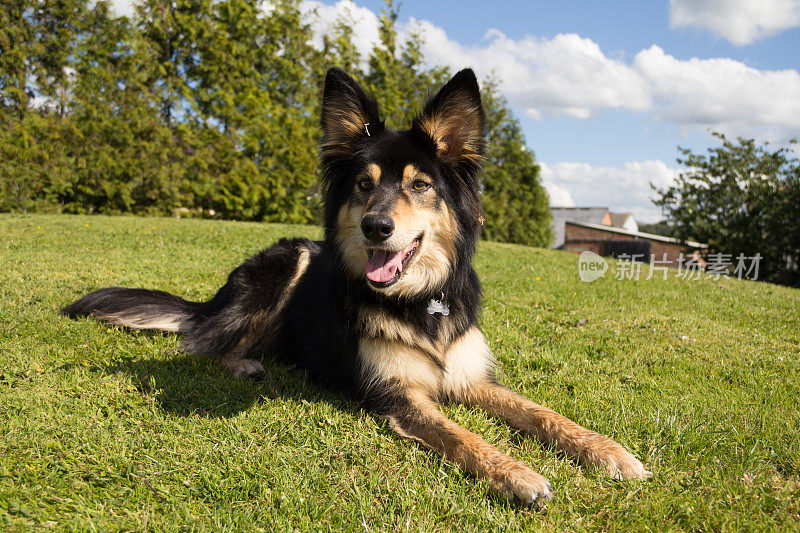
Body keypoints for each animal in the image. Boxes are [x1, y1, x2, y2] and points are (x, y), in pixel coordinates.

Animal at [62, 66, 648, 502]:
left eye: (420, 185)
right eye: (364, 185)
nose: (375, 226)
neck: (420, 301)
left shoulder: (469, 376)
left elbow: (542, 411)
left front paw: (608, 451)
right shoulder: (396, 394)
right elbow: (461, 434)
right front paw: (517, 474)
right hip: (292, 259)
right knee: (203, 345)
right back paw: (245, 362)